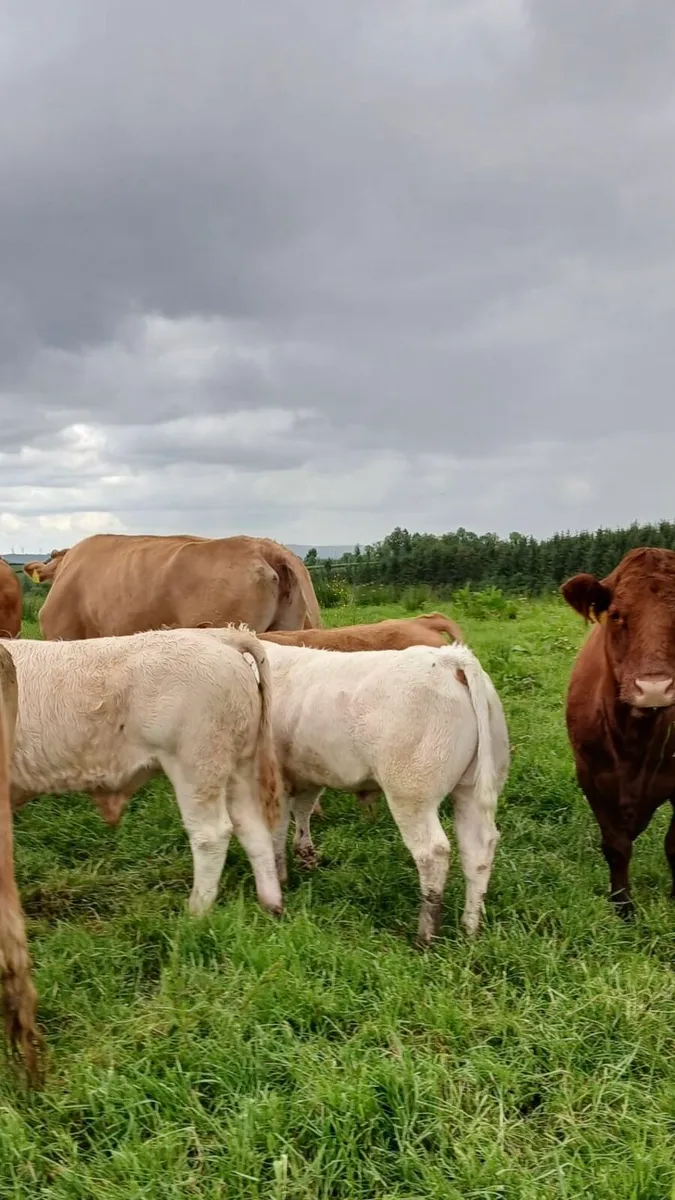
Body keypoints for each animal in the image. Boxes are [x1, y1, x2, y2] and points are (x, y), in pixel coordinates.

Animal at [4, 627, 283, 921]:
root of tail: (217, 635)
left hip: (197, 764)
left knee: (211, 833)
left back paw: (196, 912)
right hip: (238, 767)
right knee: (252, 829)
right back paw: (271, 904)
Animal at [202, 631, 509, 944]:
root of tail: (450, 659)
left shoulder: (270, 779)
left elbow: (276, 827)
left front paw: (280, 875)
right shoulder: (307, 769)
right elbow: (303, 810)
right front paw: (306, 858)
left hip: (411, 794)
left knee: (433, 852)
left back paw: (426, 935)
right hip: (471, 790)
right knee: (478, 849)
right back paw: (470, 928)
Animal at [562, 546, 675, 913]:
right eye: (615, 615)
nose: (654, 688)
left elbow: (674, 844)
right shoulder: (591, 775)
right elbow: (616, 845)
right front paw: (622, 906)